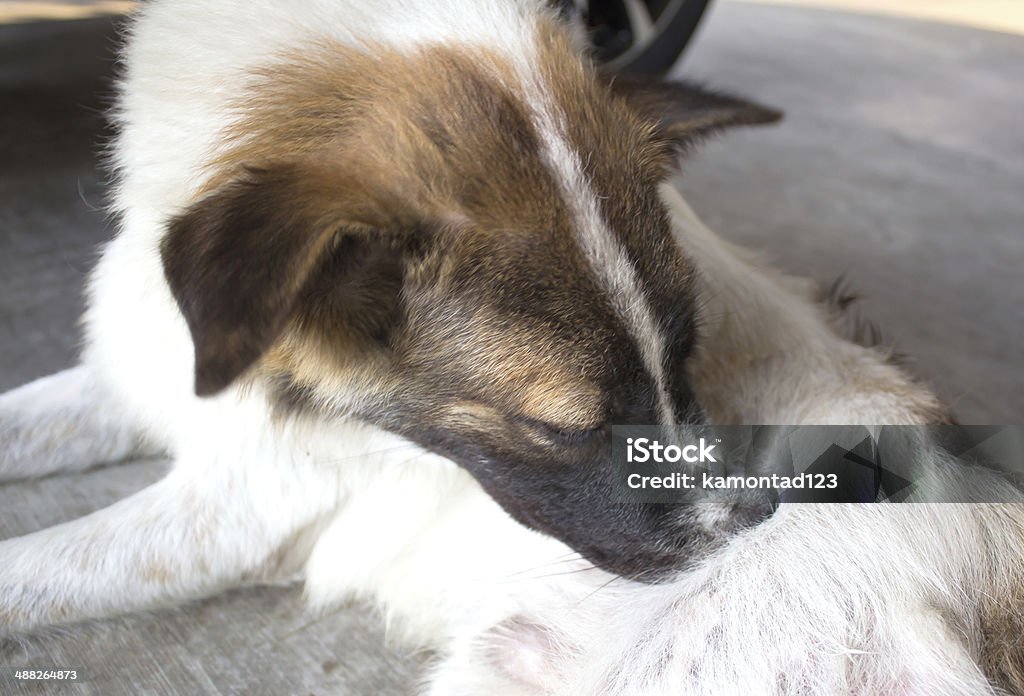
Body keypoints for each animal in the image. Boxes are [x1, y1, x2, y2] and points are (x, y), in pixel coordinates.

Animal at [2, 1, 1024, 696]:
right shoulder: (134, 379)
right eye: (563, 428)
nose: (750, 522)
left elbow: (24, 571)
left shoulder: (239, 512)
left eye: (685, 357)